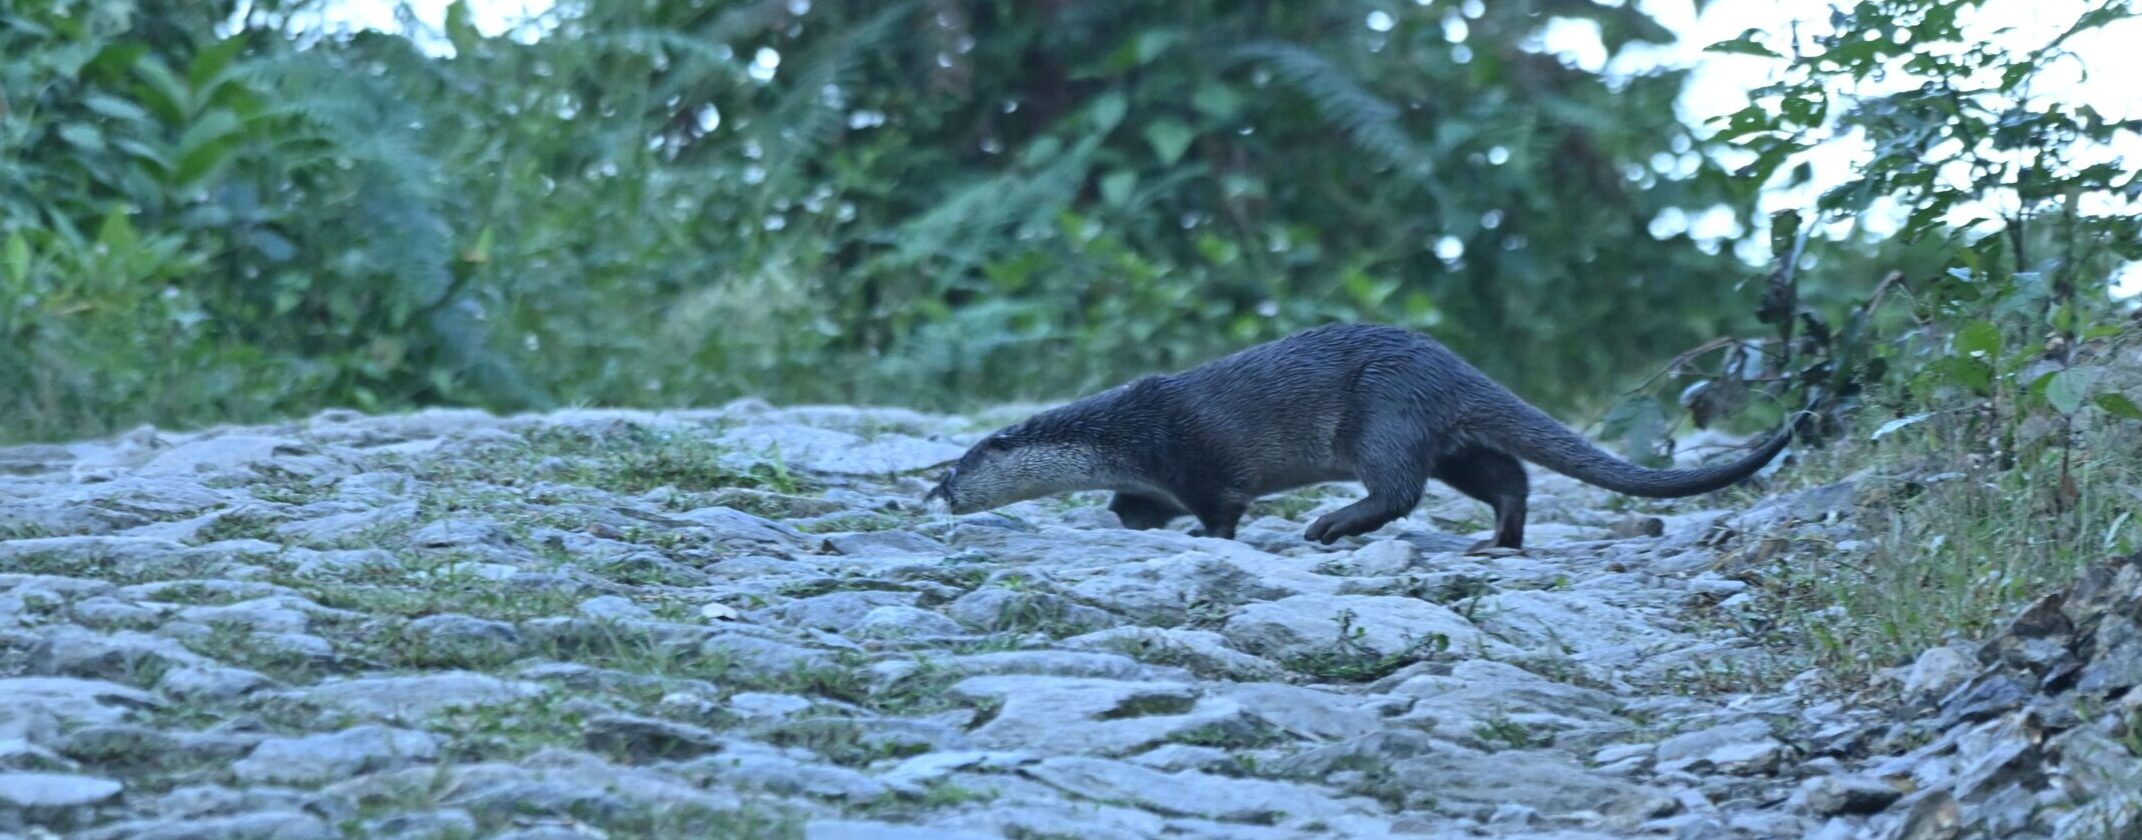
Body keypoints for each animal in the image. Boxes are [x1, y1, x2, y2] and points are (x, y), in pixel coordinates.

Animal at [924, 323, 1795, 550]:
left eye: (955, 467)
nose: (936, 494)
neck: (1122, 434)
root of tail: (1449, 363)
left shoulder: (1193, 459)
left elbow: (1220, 510)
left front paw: (1208, 540)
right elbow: (1137, 508)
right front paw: (1127, 521)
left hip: (1385, 414)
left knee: (1399, 489)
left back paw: (1331, 525)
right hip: (1445, 435)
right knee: (1506, 476)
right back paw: (1497, 543)